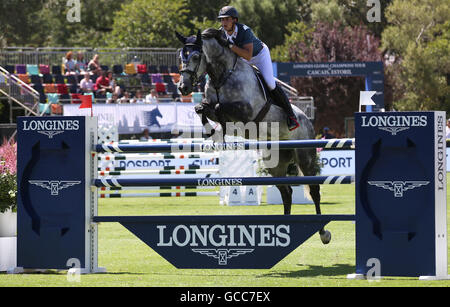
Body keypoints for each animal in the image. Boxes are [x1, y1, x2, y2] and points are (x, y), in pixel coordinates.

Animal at [176, 29, 330, 245]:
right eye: (181, 56)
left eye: (196, 56)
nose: (183, 87)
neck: (222, 76)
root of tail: (307, 120)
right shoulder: (211, 106)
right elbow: (201, 108)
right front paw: (214, 133)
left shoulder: (246, 112)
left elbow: (219, 107)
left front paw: (219, 131)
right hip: (274, 162)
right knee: (287, 192)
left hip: (305, 156)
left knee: (314, 190)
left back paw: (323, 233)